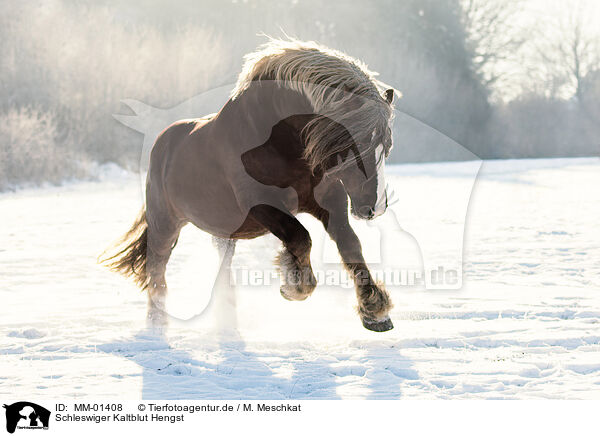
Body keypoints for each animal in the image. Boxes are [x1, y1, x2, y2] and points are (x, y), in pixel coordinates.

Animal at [101, 39, 396, 332]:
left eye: (387, 145)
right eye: (353, 145)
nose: (374, 207)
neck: (279, 141)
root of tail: (162, 143)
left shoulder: (328, 201)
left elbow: (350, 245)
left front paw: (375, 311)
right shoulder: (262, 204)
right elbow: (300, 237)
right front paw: (294, 285)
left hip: (222, 233)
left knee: (221, 270)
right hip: (164, 224)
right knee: (157, 270)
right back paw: (157, 323)